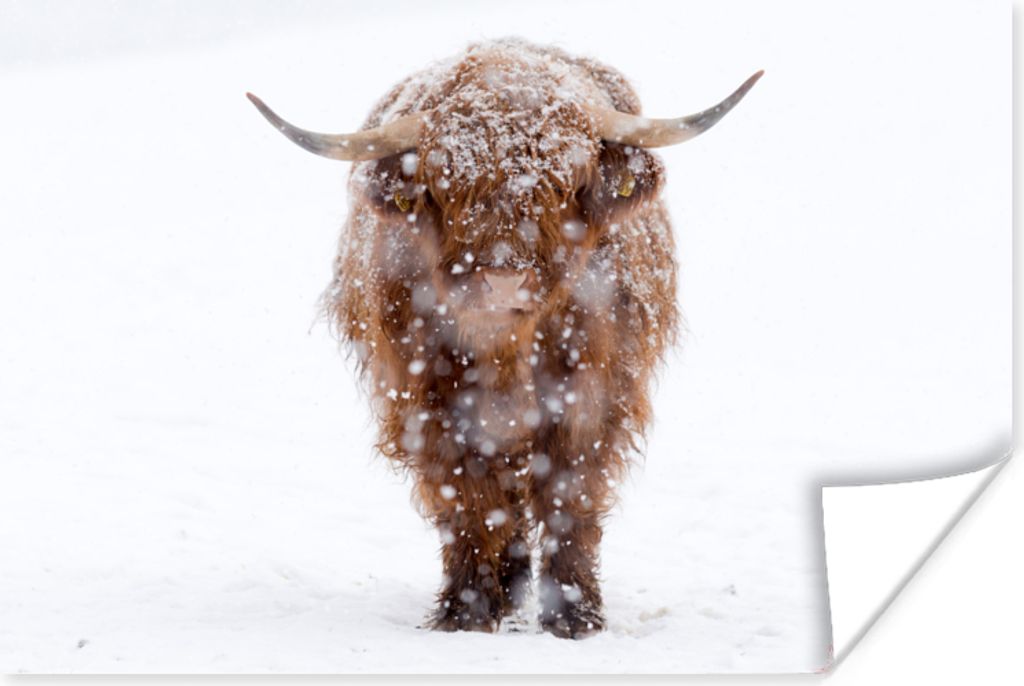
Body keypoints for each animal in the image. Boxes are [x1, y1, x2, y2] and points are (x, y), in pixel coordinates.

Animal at [248, 38, 760, 639]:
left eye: (564, 181)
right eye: (448, 183)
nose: (503, 280)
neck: (507, 348)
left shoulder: (592, 392)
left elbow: (570, 491)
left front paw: (574, 616)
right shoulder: (427, 401)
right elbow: (466, 499)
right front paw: (465, 610)